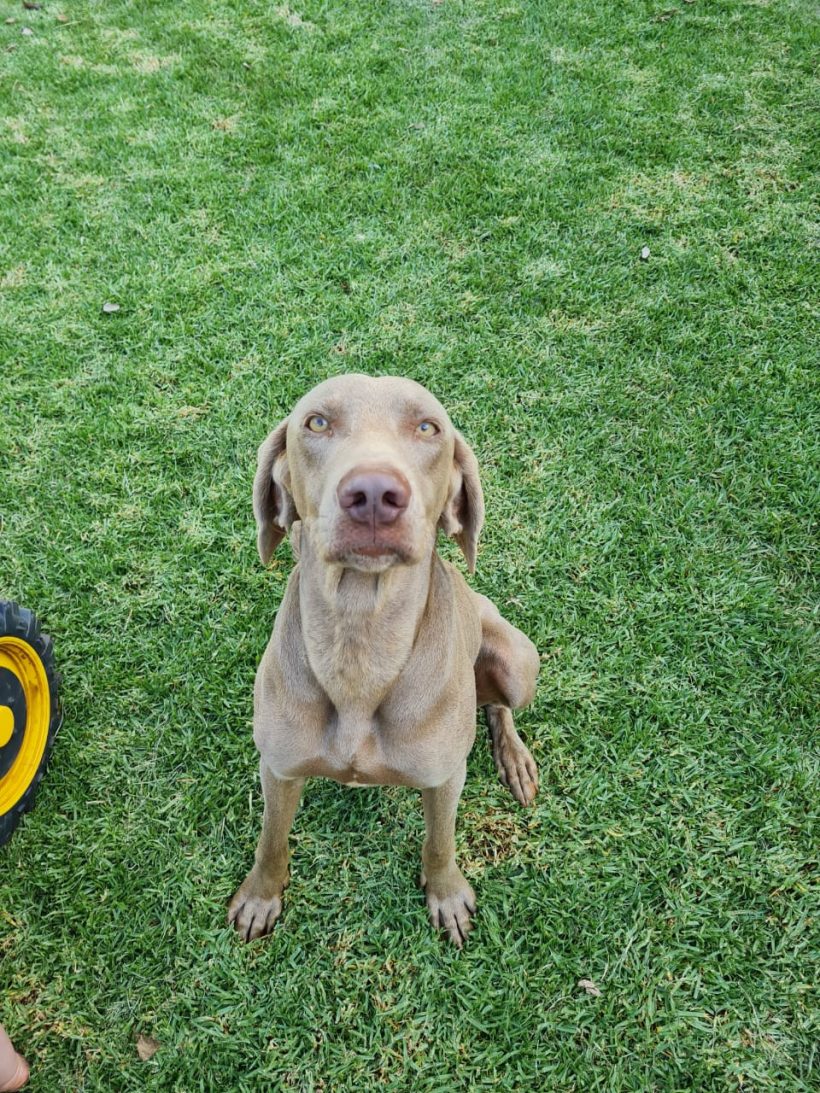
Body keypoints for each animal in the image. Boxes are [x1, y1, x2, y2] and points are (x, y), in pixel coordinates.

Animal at [228, 375, 542, 948]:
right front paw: (261, 897)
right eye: (317, 422)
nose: (373, 494)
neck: (360, 642)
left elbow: (440, 842)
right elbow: (271, 839)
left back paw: (514, 760)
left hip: (517, 661)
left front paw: (446, 895)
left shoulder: (444, 779)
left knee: (497, 703)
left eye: (428, 427)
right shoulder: (278, 768)